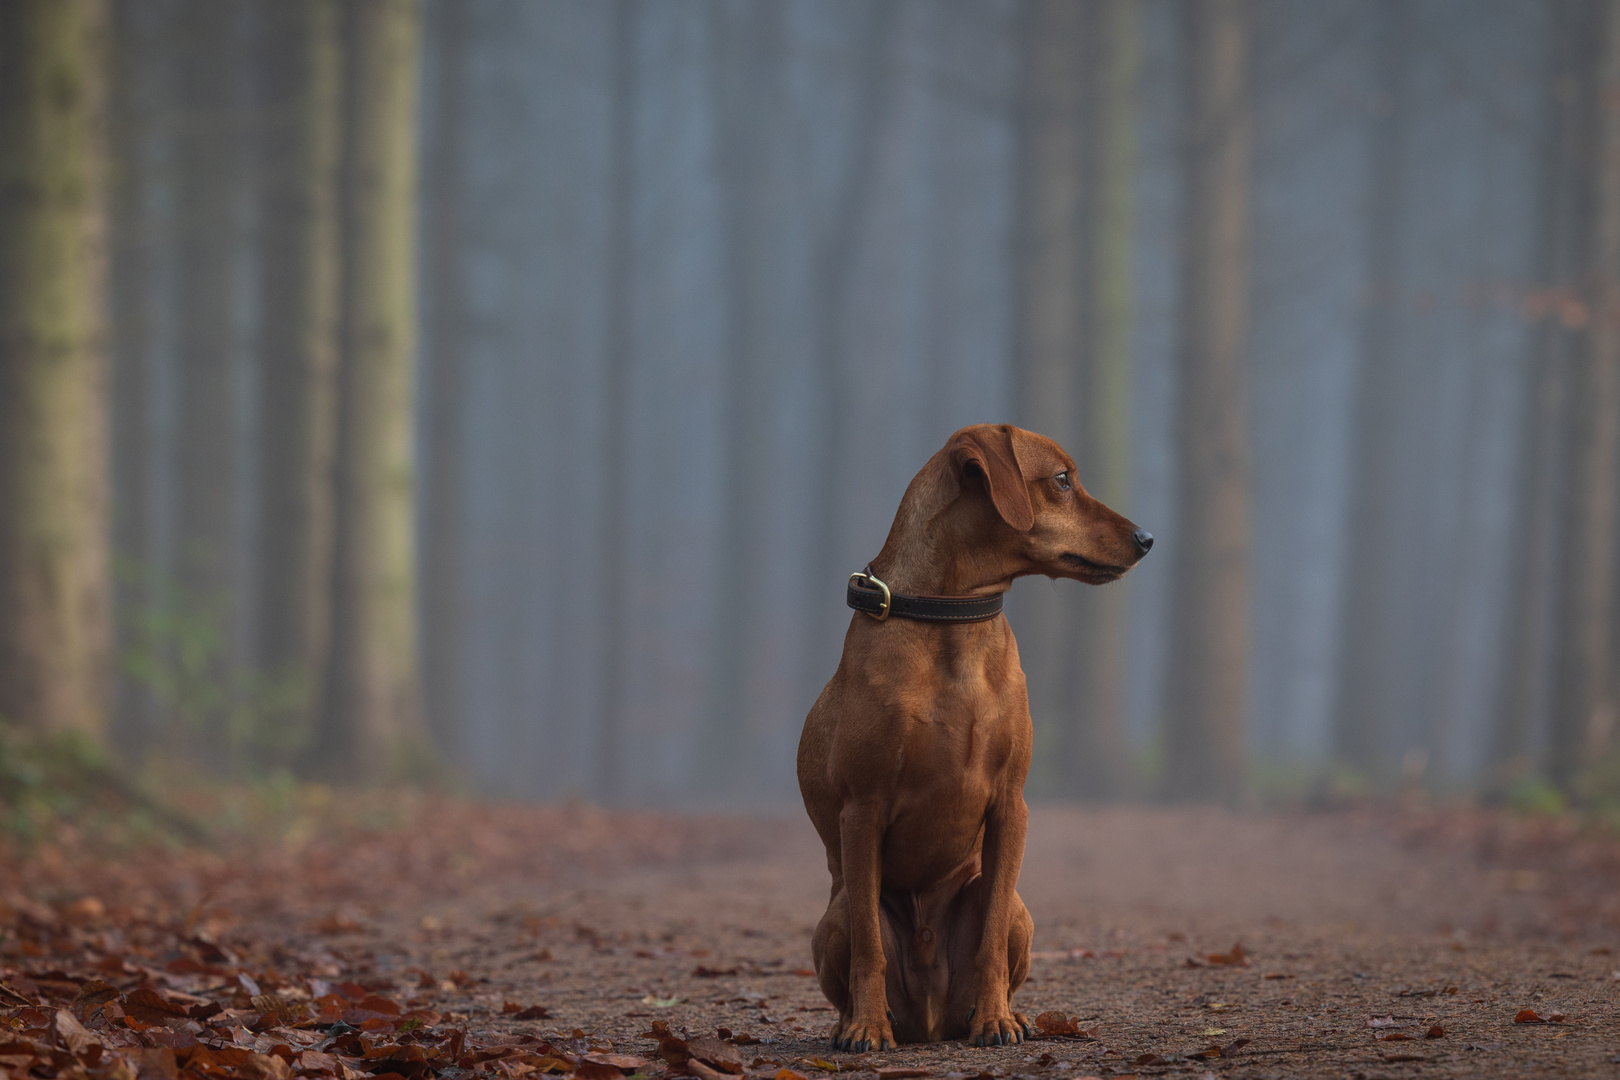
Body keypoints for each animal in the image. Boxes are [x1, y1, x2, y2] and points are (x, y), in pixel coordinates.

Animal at [790, 420, 1146, 1049]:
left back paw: (1009, 1013)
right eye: (1062, 479)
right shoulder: (862, 810)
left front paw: (996, 1019)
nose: (1147, 537)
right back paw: (854, 1021)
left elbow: (990, 941)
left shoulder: (1010, 806)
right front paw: (866, 1026)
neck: (952, 617)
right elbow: (870, 950)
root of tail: (932, 1022)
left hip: (1017, 907)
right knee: (857, 941)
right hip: (835, 914)